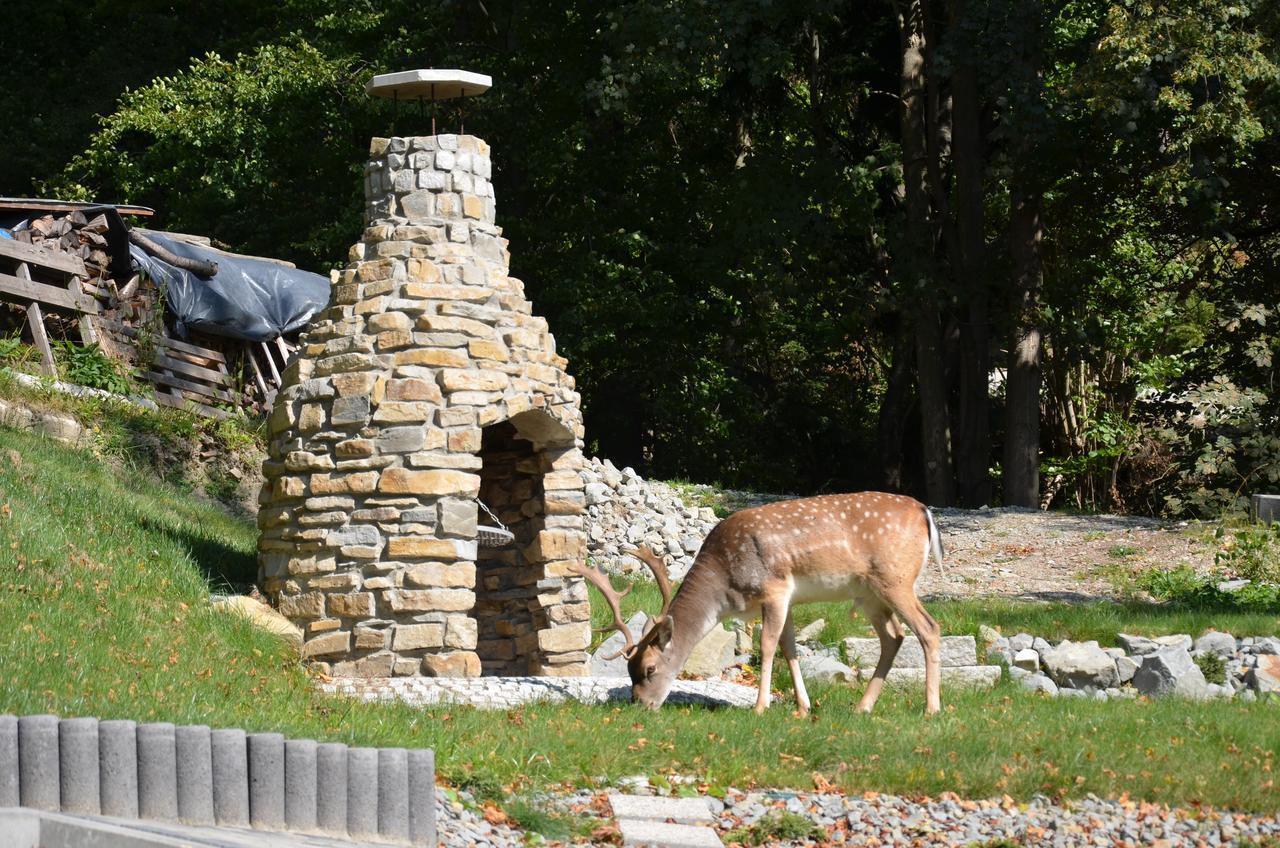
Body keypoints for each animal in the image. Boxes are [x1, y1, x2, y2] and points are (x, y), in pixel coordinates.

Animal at [576, 491, 947, 717]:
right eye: (628, 670)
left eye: (650, 669)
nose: (640, 705)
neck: (726, 586)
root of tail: (924, 512)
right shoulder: (789, 600)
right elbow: (789, 647)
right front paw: (803, 707)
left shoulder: (775, 588)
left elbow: (767, 646)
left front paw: (760, 707)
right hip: (870, 593)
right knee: (894, 637)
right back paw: (862, 707)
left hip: (896, 579)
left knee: (929, 628)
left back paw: (931, 708)